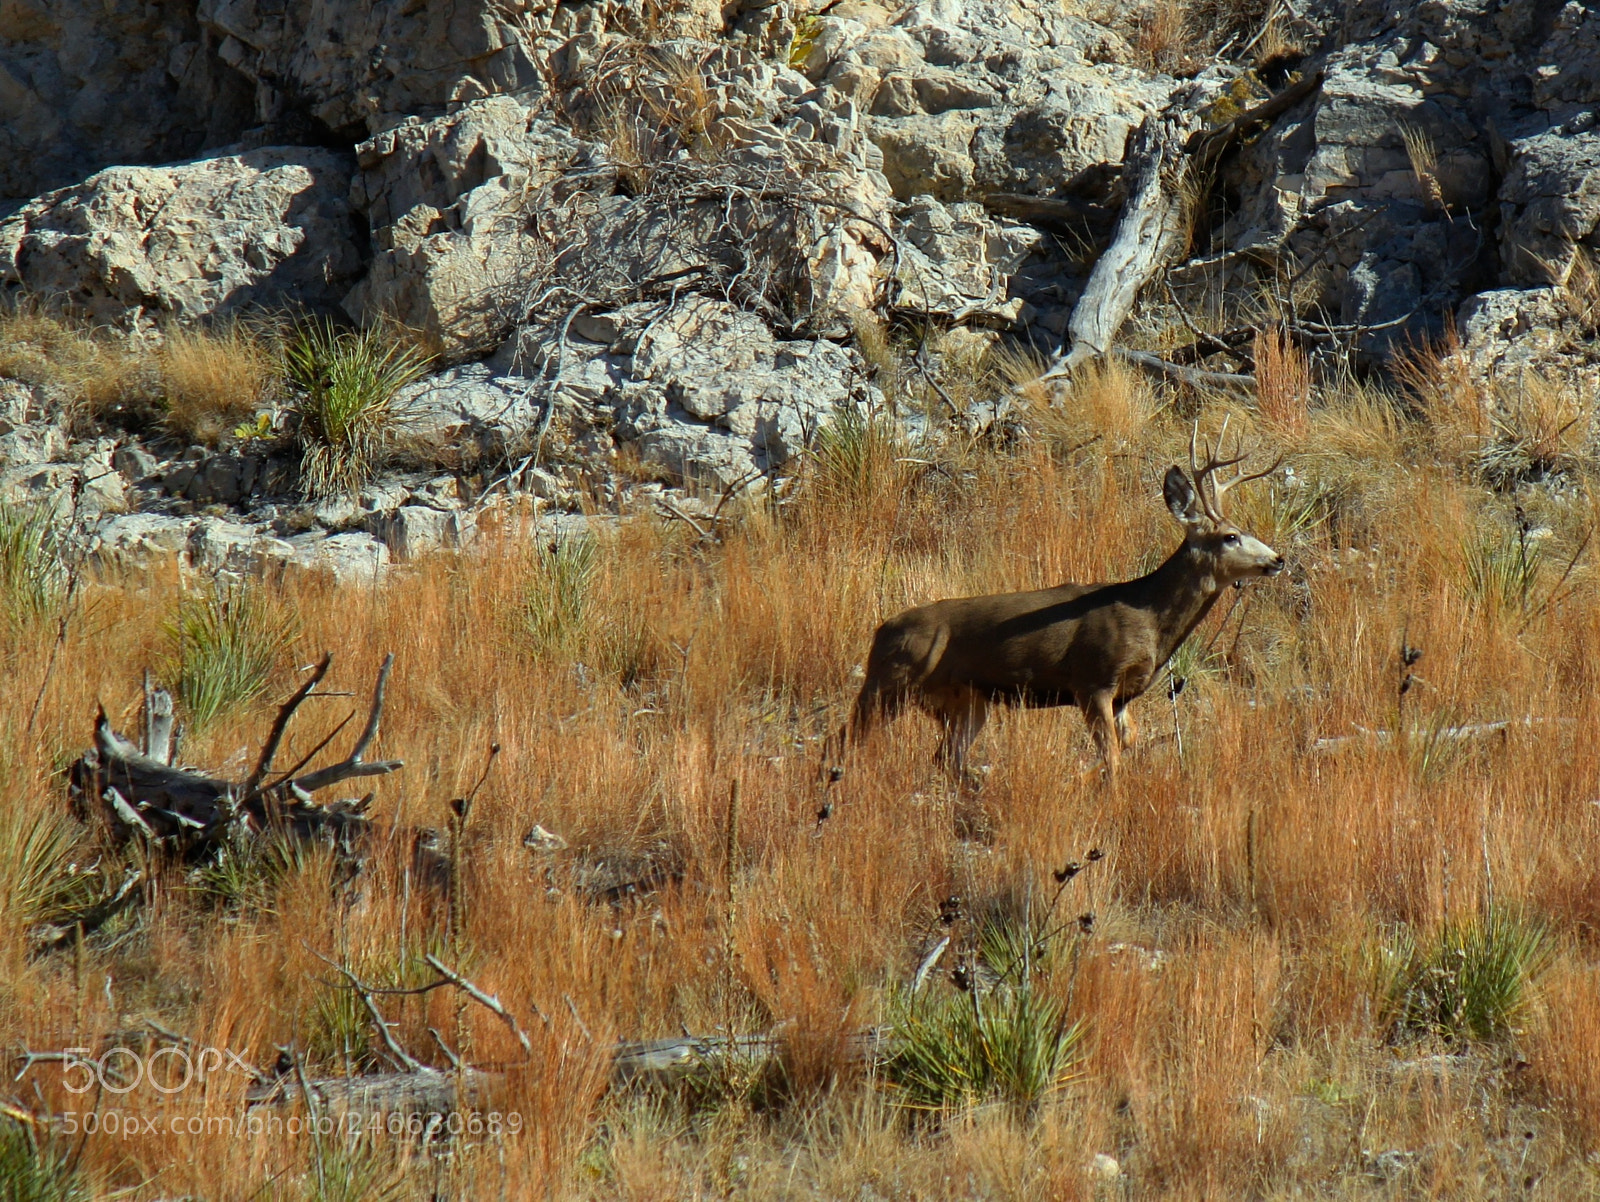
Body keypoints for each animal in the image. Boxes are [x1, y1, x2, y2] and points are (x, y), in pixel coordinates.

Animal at [824, 428, 1284, 783]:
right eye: (1230, 536)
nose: (1277, 559)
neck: (1149, 618)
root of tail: (882, 629)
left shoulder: (1123, 695)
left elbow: (1126, 746)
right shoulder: (1093, 679)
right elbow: (1111, 757)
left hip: (964, 701)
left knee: (944, 758)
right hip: (888, 682)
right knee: (841, 740)